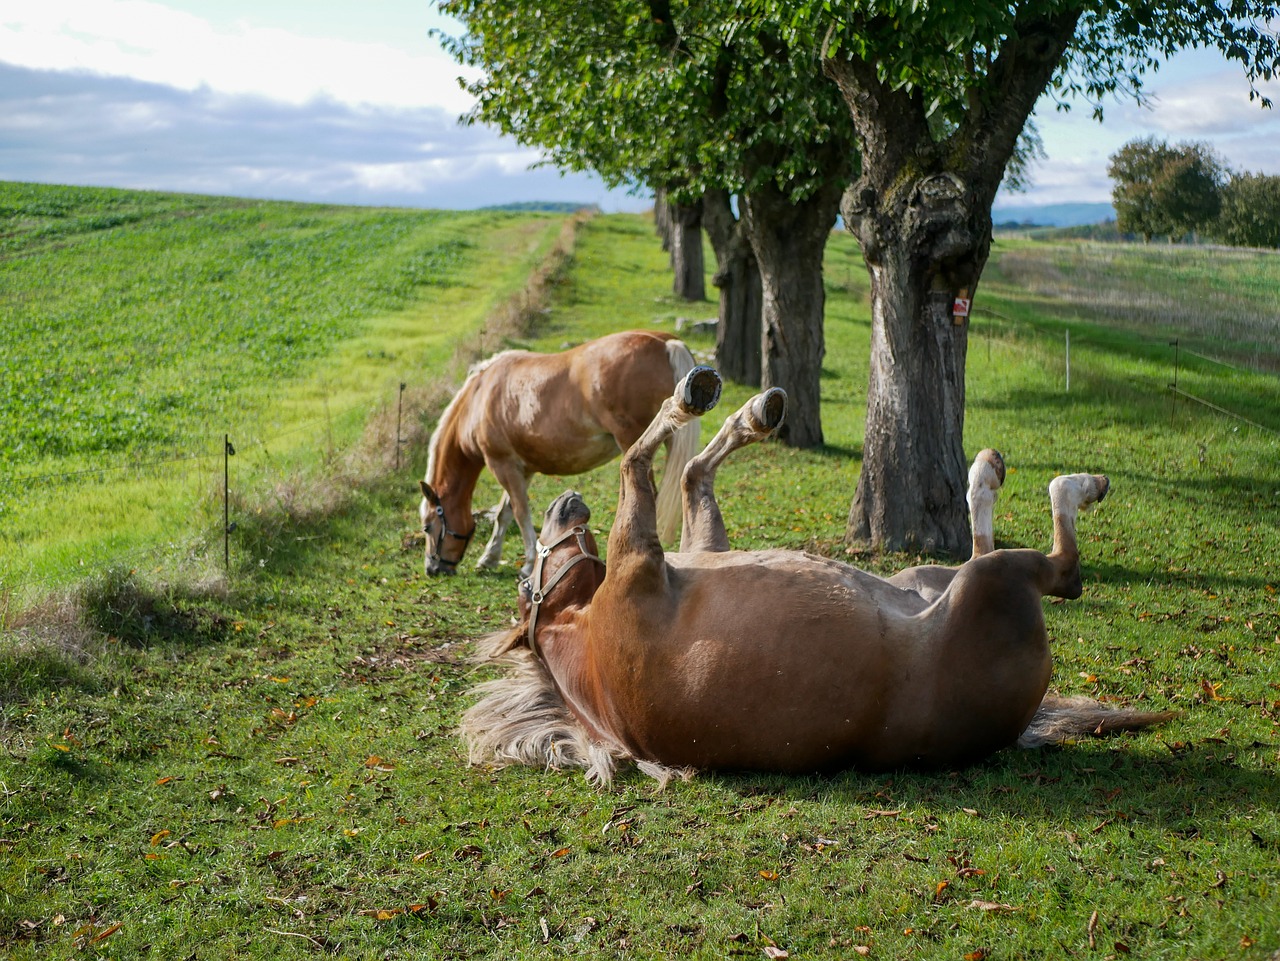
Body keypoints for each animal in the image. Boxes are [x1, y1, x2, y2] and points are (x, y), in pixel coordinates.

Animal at [460, 365, 1172, 783]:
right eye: (526, 581)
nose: (562, 503)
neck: (588, 650)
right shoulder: (638, 556)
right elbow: (637, 459)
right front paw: (690, 396)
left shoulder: (691, 551)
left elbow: (692, 477)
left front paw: (749, 411)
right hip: (990, 586)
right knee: (1062, 568)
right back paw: (1070, 486)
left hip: (927, 576)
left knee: (977, 541)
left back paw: (984, 474)